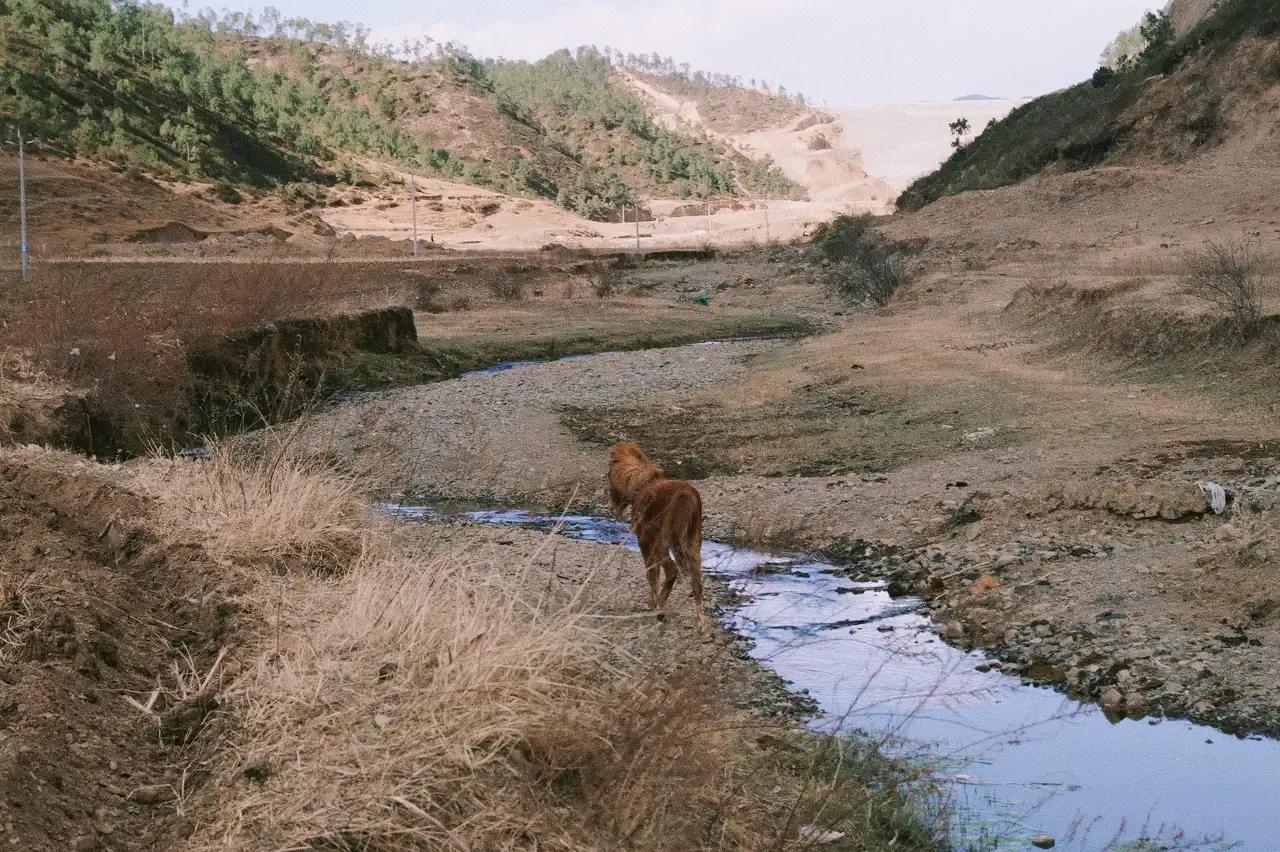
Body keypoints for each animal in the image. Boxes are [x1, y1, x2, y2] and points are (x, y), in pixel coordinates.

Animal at [604, 440, 706, 626]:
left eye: (608, 475)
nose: (611, 508)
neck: (640, 485)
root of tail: (685, 495)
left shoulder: (645, 540)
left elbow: (651, 572)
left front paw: (651, 603)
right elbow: (654, 572)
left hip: (663, 542)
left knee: (672, 571)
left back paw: (661, 610)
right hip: (690, 542)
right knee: (697, 581)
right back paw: (701, 624)